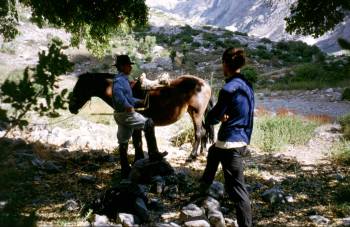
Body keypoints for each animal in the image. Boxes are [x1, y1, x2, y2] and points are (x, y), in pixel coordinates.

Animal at [69, 72, 213, 160]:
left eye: (80, 86)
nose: (71, 108)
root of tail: (204, 84)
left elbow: (137, 141)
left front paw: (138, 159)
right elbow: (136, 141)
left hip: (196, 114)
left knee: (199, 133)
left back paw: (191, 156)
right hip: (196, 114)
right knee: (204, 132)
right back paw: (202, 152)